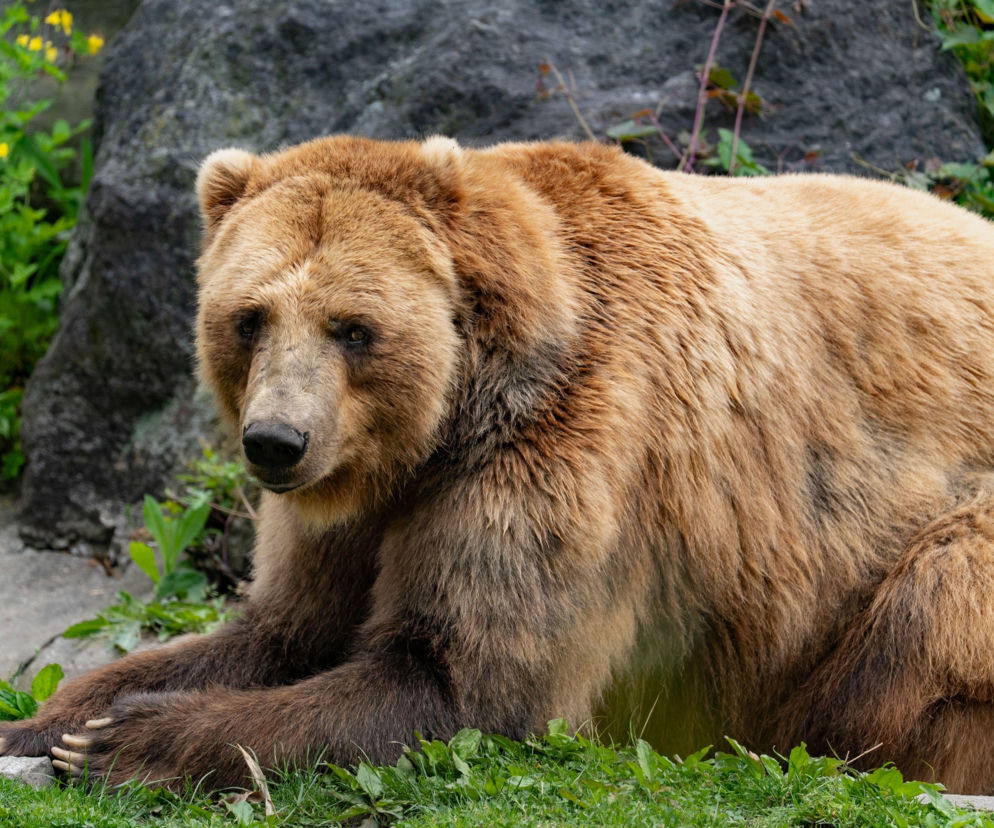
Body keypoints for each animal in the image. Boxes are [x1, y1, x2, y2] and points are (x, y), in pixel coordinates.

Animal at [3, 134, 994, 793]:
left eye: (351, 327)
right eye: (249, 316)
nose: (277, 441)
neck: (431, 434)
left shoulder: (563, 454)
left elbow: (462, 683)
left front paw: (128, 740)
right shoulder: (347, 508)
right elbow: (276, 631)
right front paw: (52, 720)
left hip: (939, 526)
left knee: (907, 638)